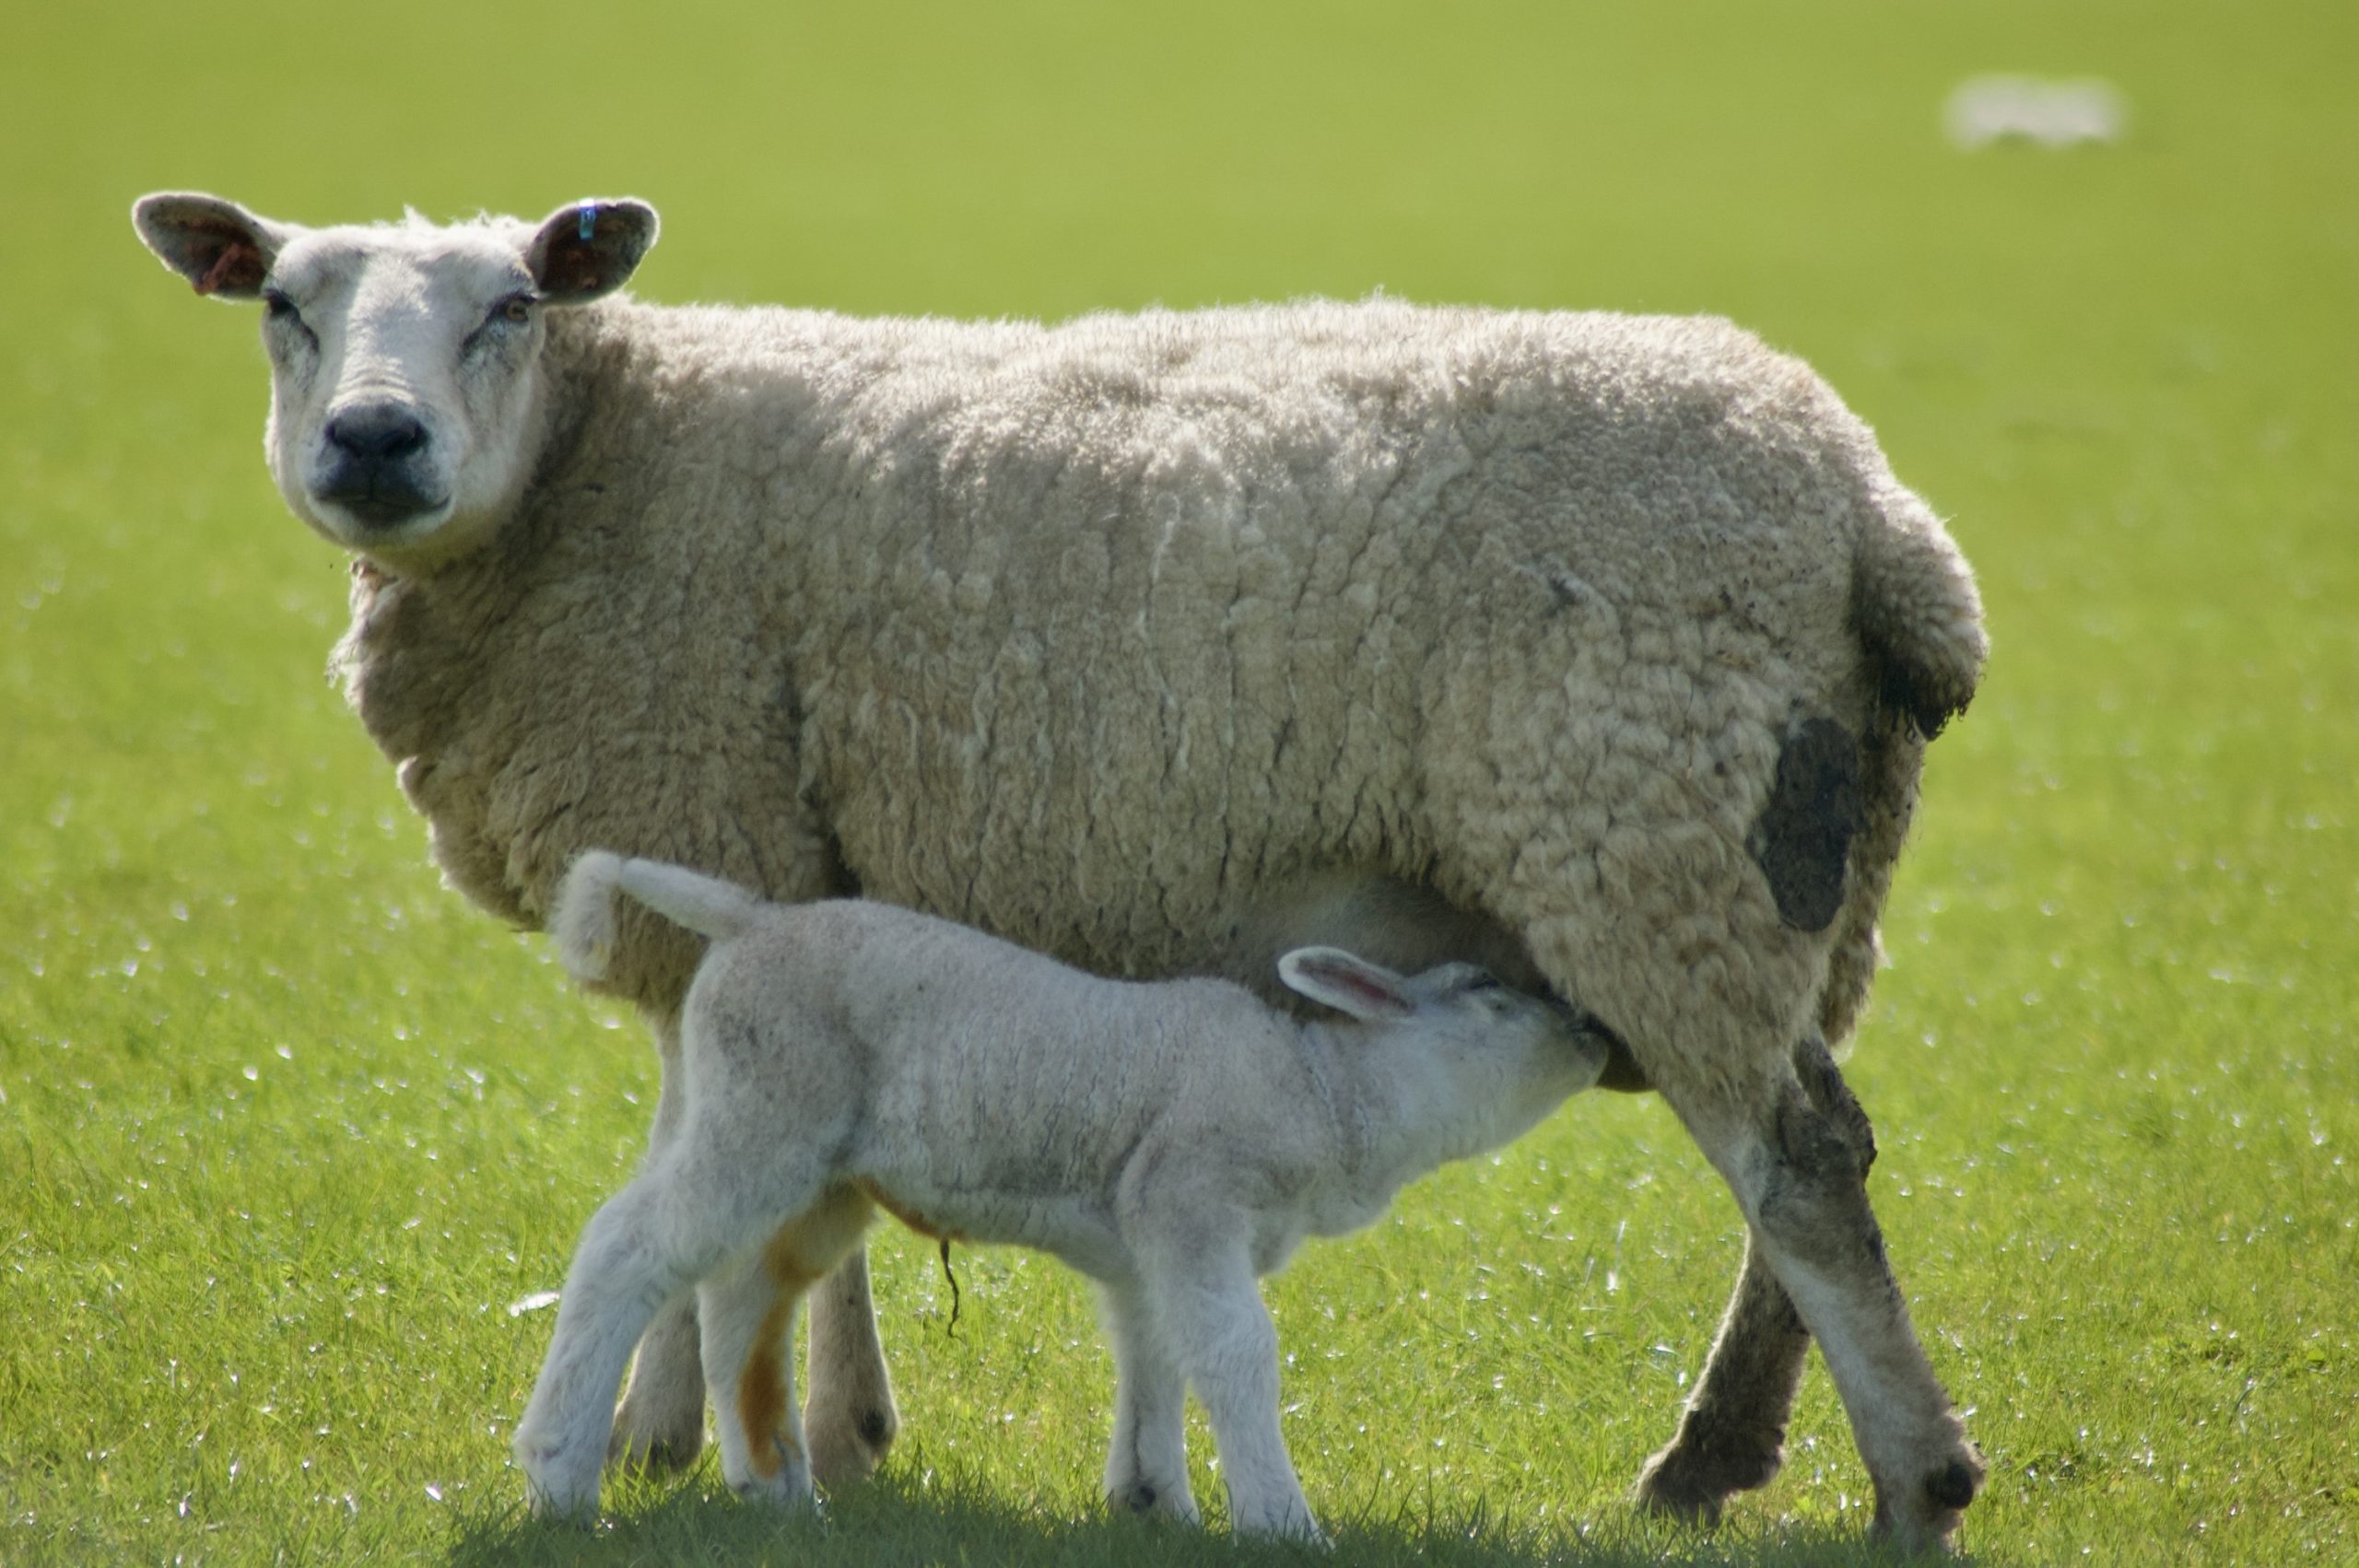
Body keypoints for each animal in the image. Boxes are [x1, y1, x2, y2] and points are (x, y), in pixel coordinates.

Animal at [514, 850, 1612, 1534]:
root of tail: (751, 918)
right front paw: (1280, 1519)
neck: (1325, 1092)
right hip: (765, 1103)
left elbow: (1158, 1351)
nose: (1594, 1032)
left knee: (743, 1288)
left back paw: (777, 1488)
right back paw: (561, 1472)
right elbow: (1236, 1353)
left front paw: (1157, 1502)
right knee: (626, 1251)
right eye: (1487, 992)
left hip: (812, 1157)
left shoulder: (1145, 1234)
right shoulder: (1189, 1191)